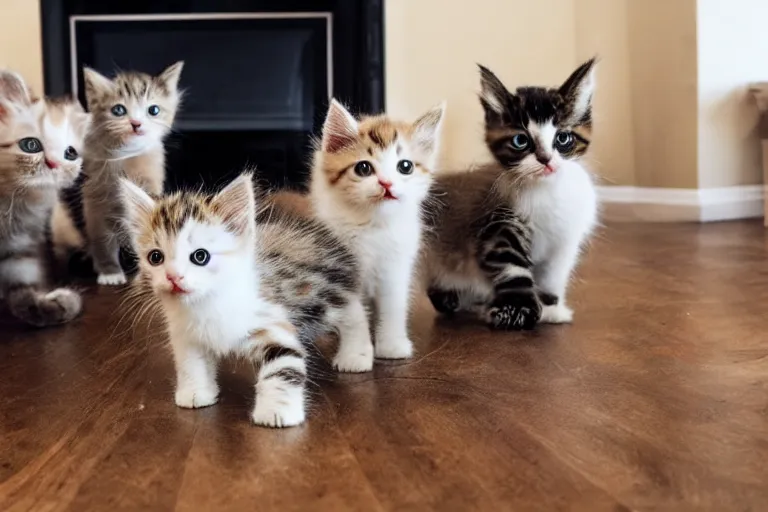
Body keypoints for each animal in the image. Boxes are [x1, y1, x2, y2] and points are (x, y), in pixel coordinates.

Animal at [0, 70, 90, 326]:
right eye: (31, 145)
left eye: (70, 153)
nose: (53, 164)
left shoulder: (18, 244)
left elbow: (22, 286)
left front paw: (50, 305)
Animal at [121, 174, 370, 426]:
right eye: (155, 257)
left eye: (200, 256)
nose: (173, 277)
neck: (205, 305)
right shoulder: (186, 335)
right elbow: (191, 363)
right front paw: (195, 393)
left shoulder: (272, 320)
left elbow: (284, 365)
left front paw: (276, 412)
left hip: (326, 291)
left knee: (352, 310)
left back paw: (356, 355)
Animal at [310, 99, 448, 372]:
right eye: (363, 168)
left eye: (405, 166)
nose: (386, 183)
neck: (373, 225)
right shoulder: (341, 272)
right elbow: (353, 316)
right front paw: (355, 356)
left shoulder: (396, 267)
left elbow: (393, 306)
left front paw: (392, 345)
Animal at [424, 60, 596, 330]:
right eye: (520, 140)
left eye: (563, 138)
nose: (546, 160)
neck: (546, 189)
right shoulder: (498, 224)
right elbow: (513, 269)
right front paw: (516, 310)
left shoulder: (564, 242)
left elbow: (552, 276)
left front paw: (551, 309)